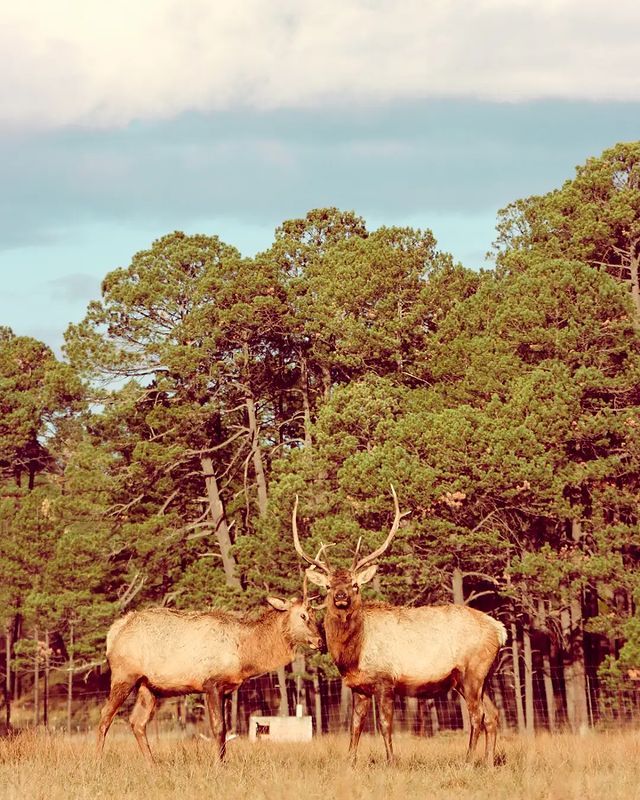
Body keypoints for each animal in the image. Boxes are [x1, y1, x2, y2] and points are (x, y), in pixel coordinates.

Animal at [96, 591, 323, 764]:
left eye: (314, 615)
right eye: (303, 615)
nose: (319, 640)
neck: (243, 655)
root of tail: (113, 633)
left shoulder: (227, 689)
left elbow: (226, 729)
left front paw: (222, 763)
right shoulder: (211, 684)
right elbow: (218, 728)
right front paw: (218, 765)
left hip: (148, 686)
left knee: (137, 721)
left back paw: (152, 765)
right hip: (124, 675)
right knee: (106, 715)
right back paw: (98, 762)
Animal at [293, 487, 507, 767]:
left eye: (355, 585)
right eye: (328, 586)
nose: (340, 596)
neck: (353, 655)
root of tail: (500, 630)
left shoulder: (386, 680)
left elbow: (385, 725)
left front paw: (391, 761)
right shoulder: (359, 687)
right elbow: (355, 726)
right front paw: (350, 762)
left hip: (473, 671)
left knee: (477, 716)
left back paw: (469, 761)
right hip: (482, 677)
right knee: (493, 715)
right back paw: (489, 763)